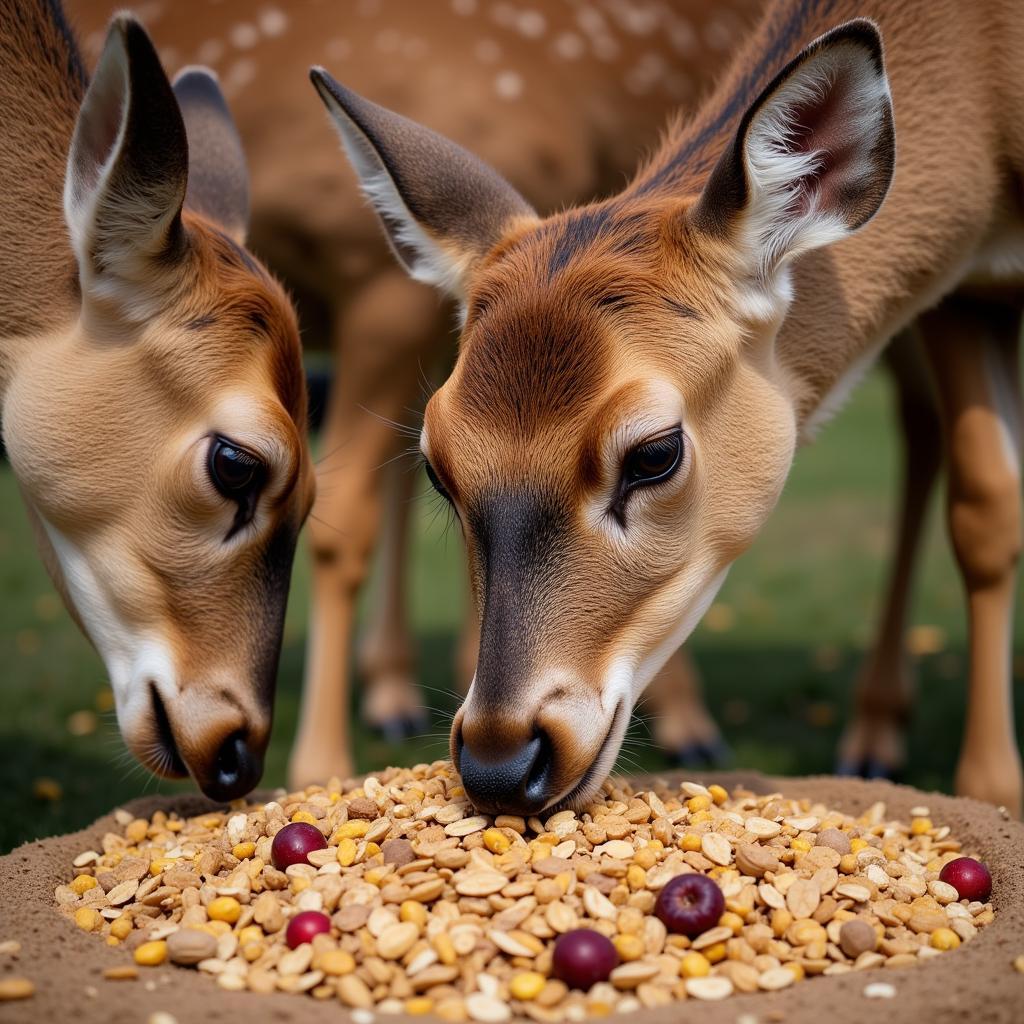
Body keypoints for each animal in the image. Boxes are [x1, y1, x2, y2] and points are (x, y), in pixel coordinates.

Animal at [313, 0, 1024, 815]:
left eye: (655, 453)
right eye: (438, 466)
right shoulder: (970, 294)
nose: (500, 761)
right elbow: (987, 504)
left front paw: (995, 794)